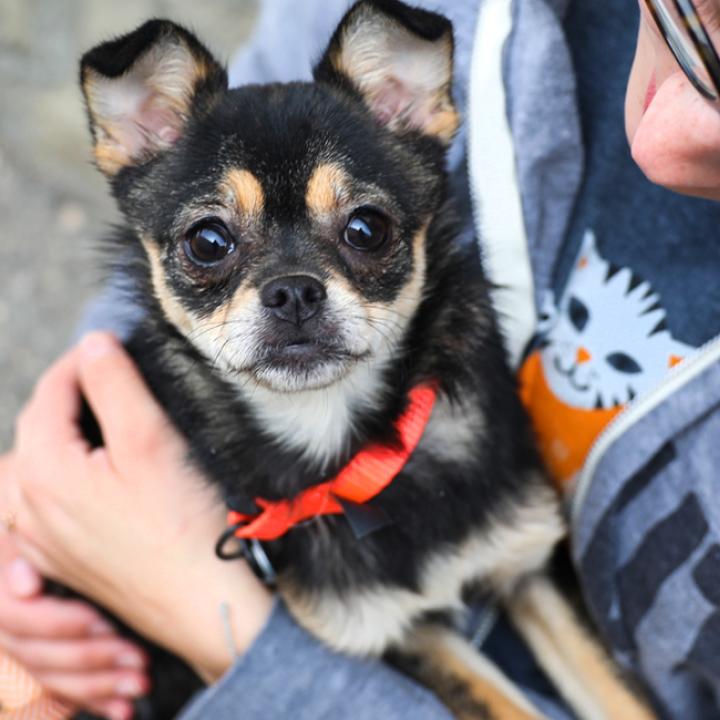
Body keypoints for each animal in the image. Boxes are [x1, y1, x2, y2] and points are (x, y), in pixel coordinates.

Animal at [67, 2, 660, 716]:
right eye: (207, 241)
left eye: (367, 228)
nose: (293, 290)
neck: (353, 455)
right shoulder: (400, 635)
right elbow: (507, 703)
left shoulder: (528, 563)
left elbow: (618, 696)